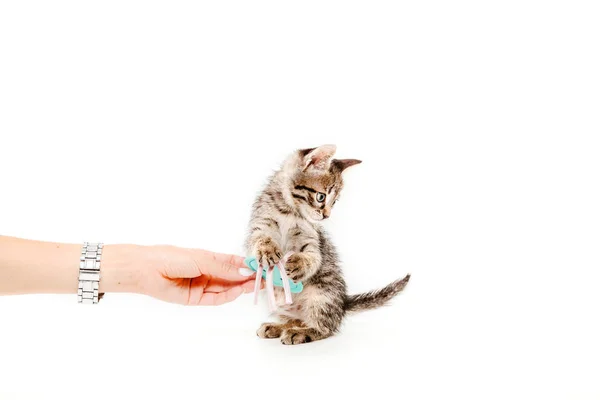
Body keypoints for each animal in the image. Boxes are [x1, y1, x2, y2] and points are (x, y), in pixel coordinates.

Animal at [243, 144, 408, 344]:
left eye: (334, 202)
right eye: (321, 197)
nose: (327, 215)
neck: (289, 212)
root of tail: (342, 303)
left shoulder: (311, 240)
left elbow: (314, 257)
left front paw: (299, 264)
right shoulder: (259, 225)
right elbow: (259, 239)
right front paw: (267, 250)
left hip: (321, 296)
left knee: (325, 328)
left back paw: (300, 332)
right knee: (294, 320)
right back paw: (278, 327)